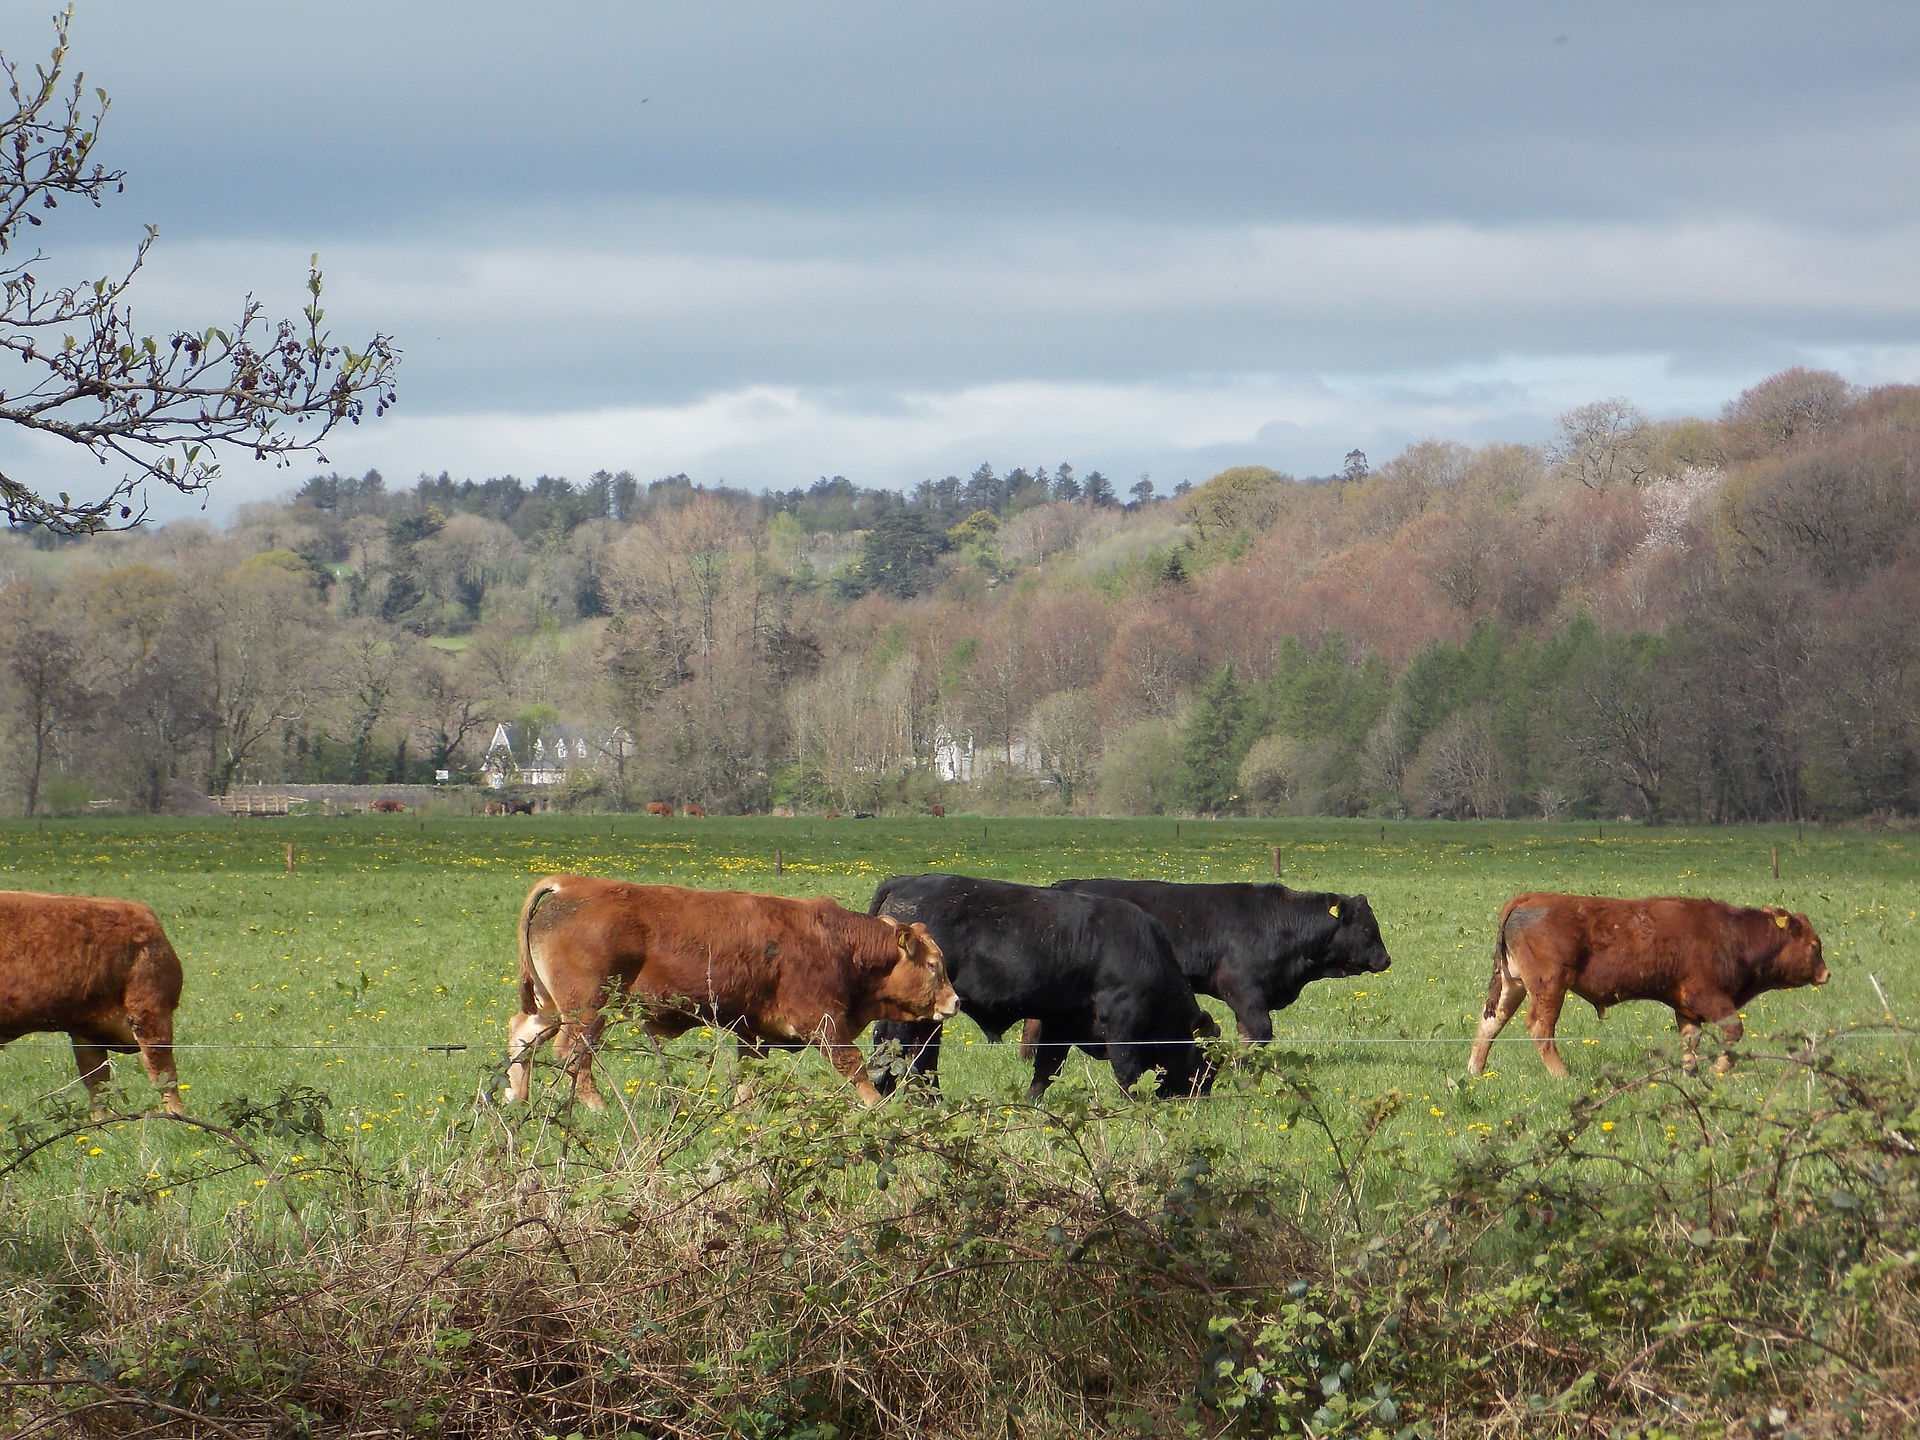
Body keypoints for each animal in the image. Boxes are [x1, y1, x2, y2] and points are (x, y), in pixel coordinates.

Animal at [0, 891, 184, 1118]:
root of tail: (143, 912)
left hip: (149, 1012)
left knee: (164, 1077)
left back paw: (178, 1119)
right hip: (87, 1034)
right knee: (98, 1089)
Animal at [503, 877, 955, 1110]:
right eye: (935, 965)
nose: (954, 1001)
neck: (835, 942)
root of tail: (569, 885)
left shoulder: (753, 1031)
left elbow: (747, 1074)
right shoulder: (823, 1021)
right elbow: (853, 1065)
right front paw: (875, 1105)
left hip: (553, 1006)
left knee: (523, 1035)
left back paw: (516, 1096)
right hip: (587, 1009)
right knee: (573, 1053)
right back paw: (596, 1105)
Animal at [867, 874, 1217, 1102]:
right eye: (1208, 1065)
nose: (1201, 1098)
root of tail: (904, 882)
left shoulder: (1062, 1022)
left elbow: (1048, 1067)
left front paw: (1030, 1102)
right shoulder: (1121, 1024)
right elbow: (1126, 1071)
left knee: (913, 1053)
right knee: (901, 1050)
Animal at [1468, 893, 1830, 1078]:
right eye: (1815, 946)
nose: (1826, 974)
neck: (1733, 934)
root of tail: (1529, 899)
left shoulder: (1686, 1008)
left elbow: (1691, 1039)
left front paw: (1691, 1072)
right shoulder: (1710, 998)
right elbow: (1733, 1031)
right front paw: (1718, 1069)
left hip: (1513, 984)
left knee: (1491, 1022)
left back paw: (1474, 1071)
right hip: (1548, 987)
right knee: (1540, 1027)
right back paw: (1562, 1075)